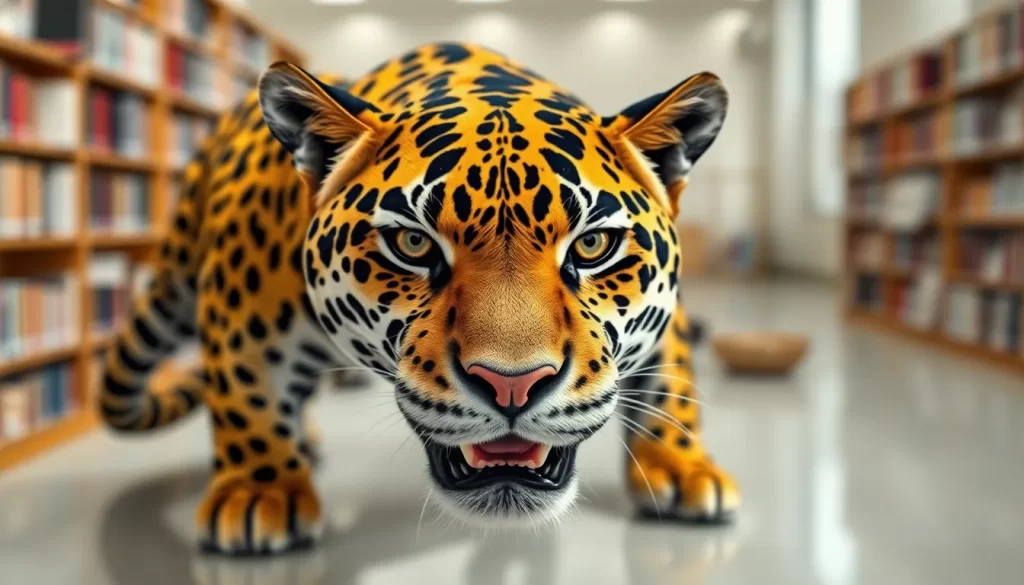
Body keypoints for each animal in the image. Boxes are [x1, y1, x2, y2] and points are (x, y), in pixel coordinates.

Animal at [97, 42, 739, 555]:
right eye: (412, 243)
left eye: (593, 245)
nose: (512, 385)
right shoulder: (241, 304)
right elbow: (247, 397)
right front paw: (261, 494)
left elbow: (671, 384)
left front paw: (684, 467)